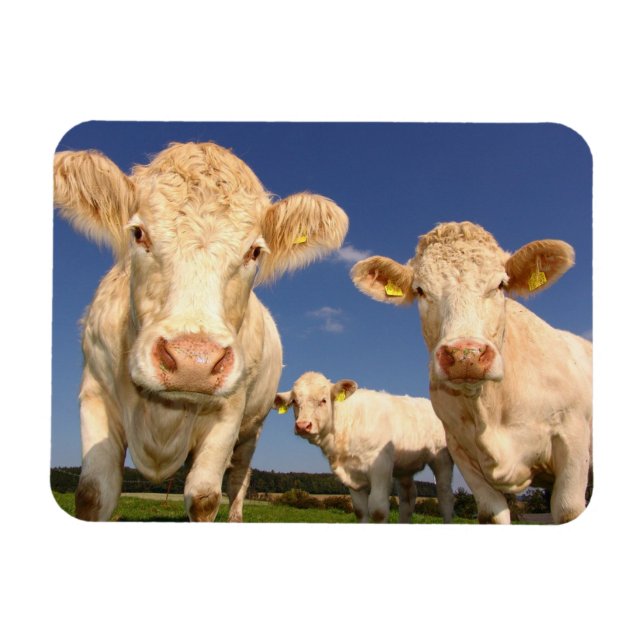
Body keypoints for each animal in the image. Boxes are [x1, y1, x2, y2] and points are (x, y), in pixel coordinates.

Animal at [54, 141, 349, 522]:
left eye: (255, 251)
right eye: (138, 233)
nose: (194, 362)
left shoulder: (230, 412)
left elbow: (205, 496)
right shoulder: (95, 393)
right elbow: (92, 493)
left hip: (251, 430)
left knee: (238, 479)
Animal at [273, 371, 454, 523]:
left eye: (323, 400)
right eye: (295, 402)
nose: (303, 425)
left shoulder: (381, 467)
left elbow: (378, 511)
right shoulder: (352, 476)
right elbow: (361, 512)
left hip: (442, 458)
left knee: (445, 497)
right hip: (404, 467)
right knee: (408, 498)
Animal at [351, 221, 592, 524]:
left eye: (500, 284)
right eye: (420, 290)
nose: (466, 355)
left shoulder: (573, 438)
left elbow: (568, 510)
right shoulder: (462, 451)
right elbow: (490, 514)